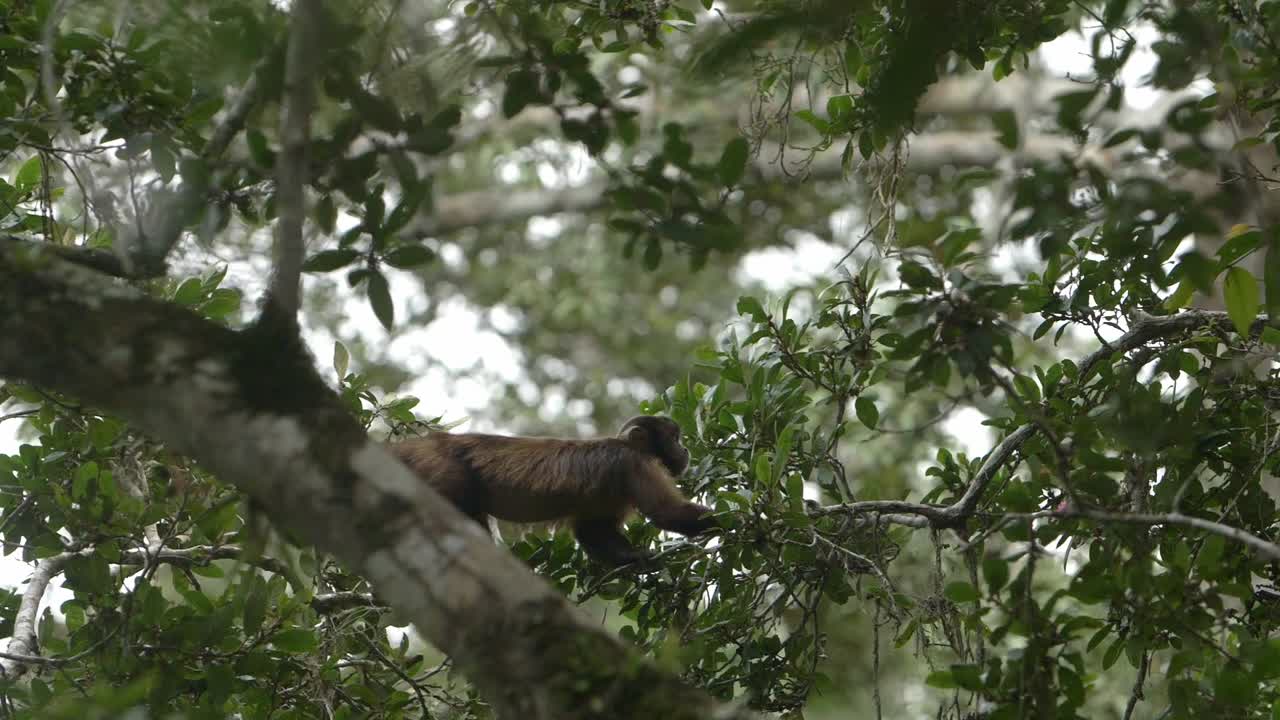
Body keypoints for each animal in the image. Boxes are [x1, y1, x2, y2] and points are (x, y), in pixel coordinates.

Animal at [387, 415, 716, 567]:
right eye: (674, 438)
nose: (685, 449)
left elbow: (592, 532)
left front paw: (632, 558)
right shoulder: (634, 464)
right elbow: (666, 512)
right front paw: (728, 522)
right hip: (440, 467)